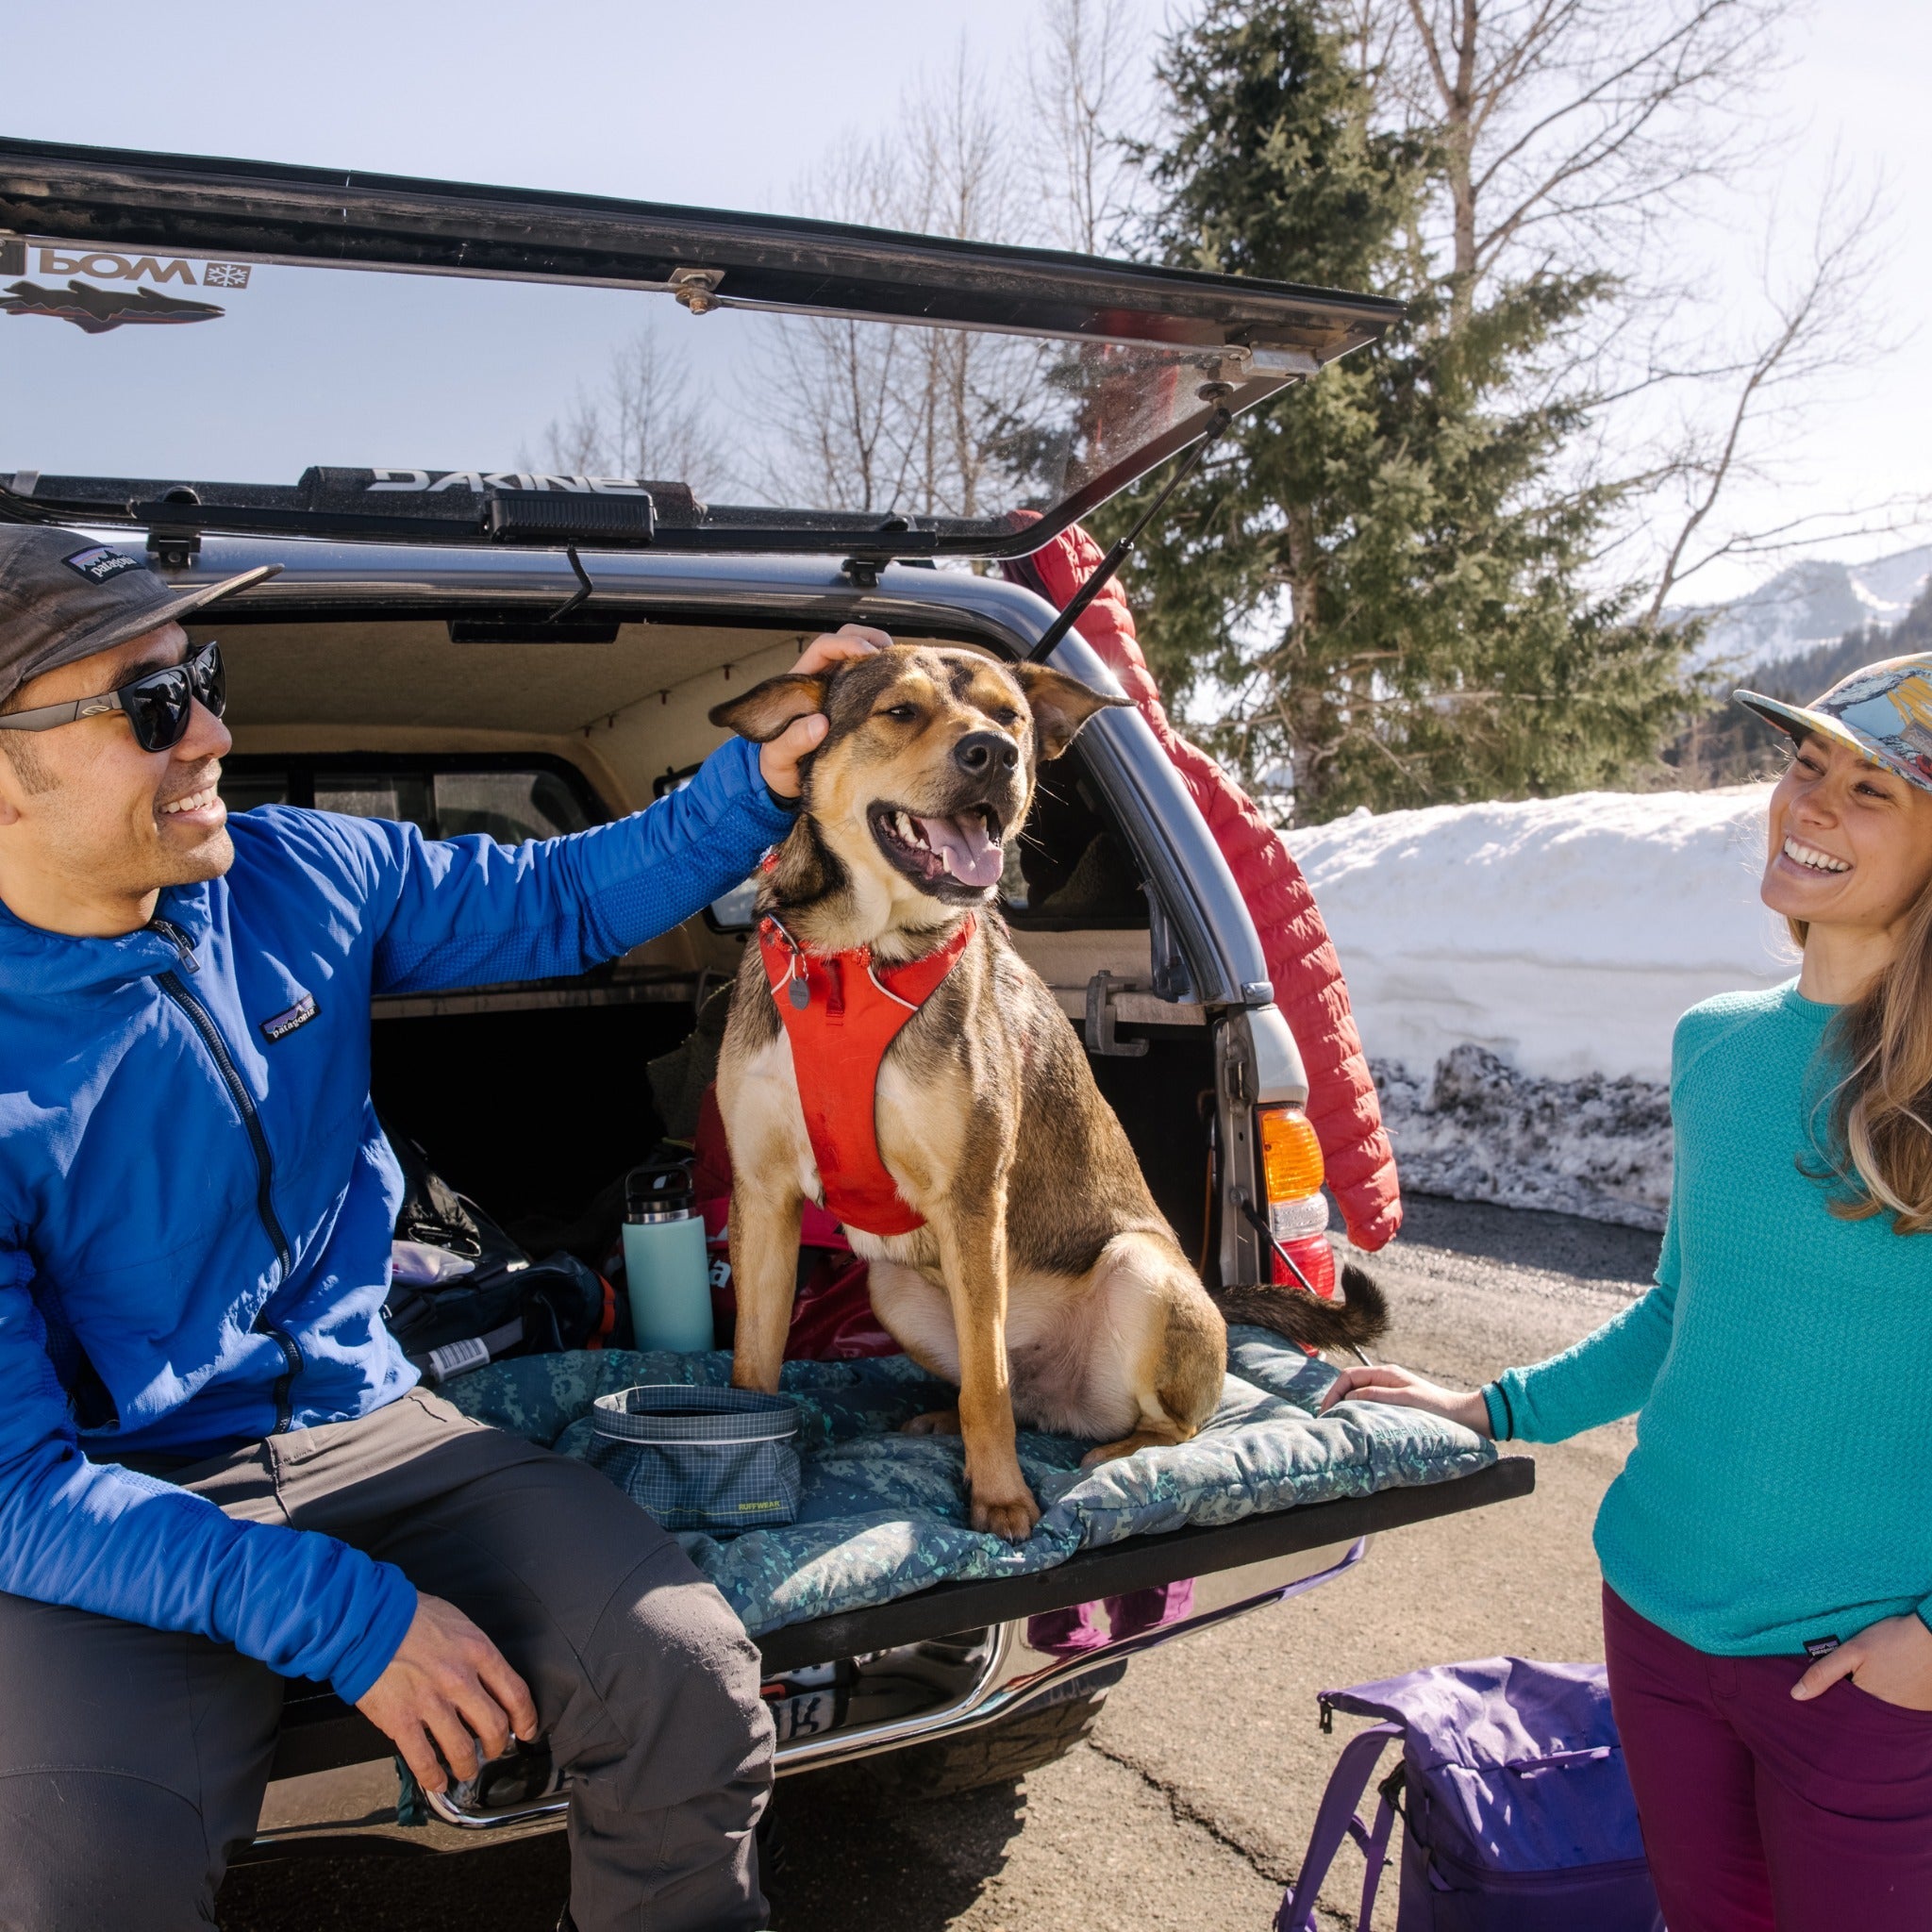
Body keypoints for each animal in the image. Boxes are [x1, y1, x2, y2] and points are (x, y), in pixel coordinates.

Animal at [710, 645, 1359, 1538]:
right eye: (900, 712)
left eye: (1008, 715)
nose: (994, 754)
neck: (855, 957)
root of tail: (1060, 1395)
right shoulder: (763, 1196)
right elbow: (751, 1369)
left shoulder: (973, 1197)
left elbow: (989, 1389)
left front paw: (1002, 1499)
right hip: (895, 1287)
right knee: (997, 1382)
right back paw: (947, 1417)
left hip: (1138, 1269)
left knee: (1145, 1417)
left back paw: (1113, 1453)